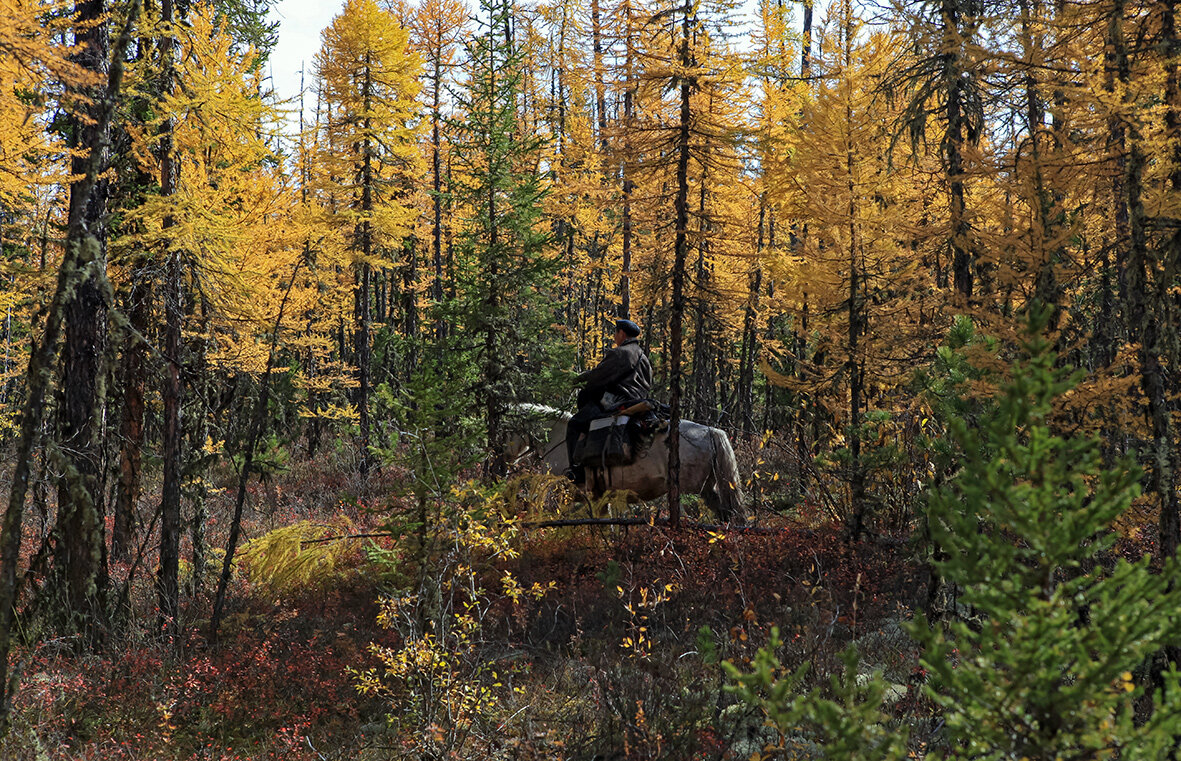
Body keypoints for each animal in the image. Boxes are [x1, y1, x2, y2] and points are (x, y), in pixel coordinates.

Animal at [510, 404, 746, 522]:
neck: (559, 438)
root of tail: (711, 431)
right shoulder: (599, 496)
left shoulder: (561, 494)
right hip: (708, 489)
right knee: (727, 515)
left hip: (689, 492)